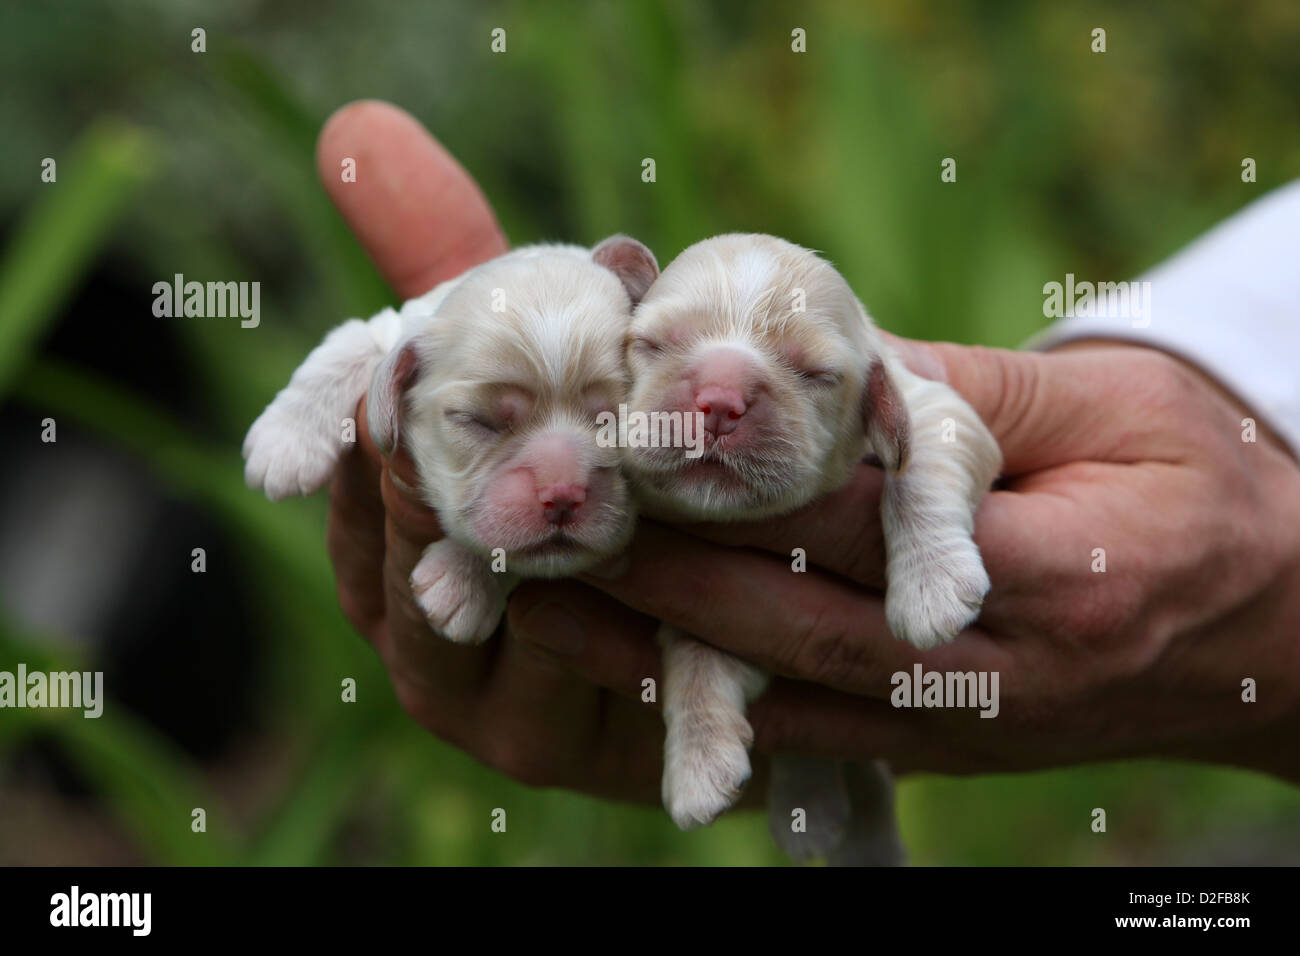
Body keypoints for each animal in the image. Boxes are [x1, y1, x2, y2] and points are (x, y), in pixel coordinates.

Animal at [244, 238, 660, 642]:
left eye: (613, 420)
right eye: (477, 421)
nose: (562, 495)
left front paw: (463, 581)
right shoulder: (395, 328)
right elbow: (351, 342)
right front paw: (285, 442)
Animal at [621, 234, 1003, 868]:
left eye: (815, 373)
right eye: (651, 344)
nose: (719, 400)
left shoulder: (938, 406)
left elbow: (919, 466)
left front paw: (932, 588)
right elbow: (696, 661)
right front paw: (698, 765)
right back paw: (810, 812)